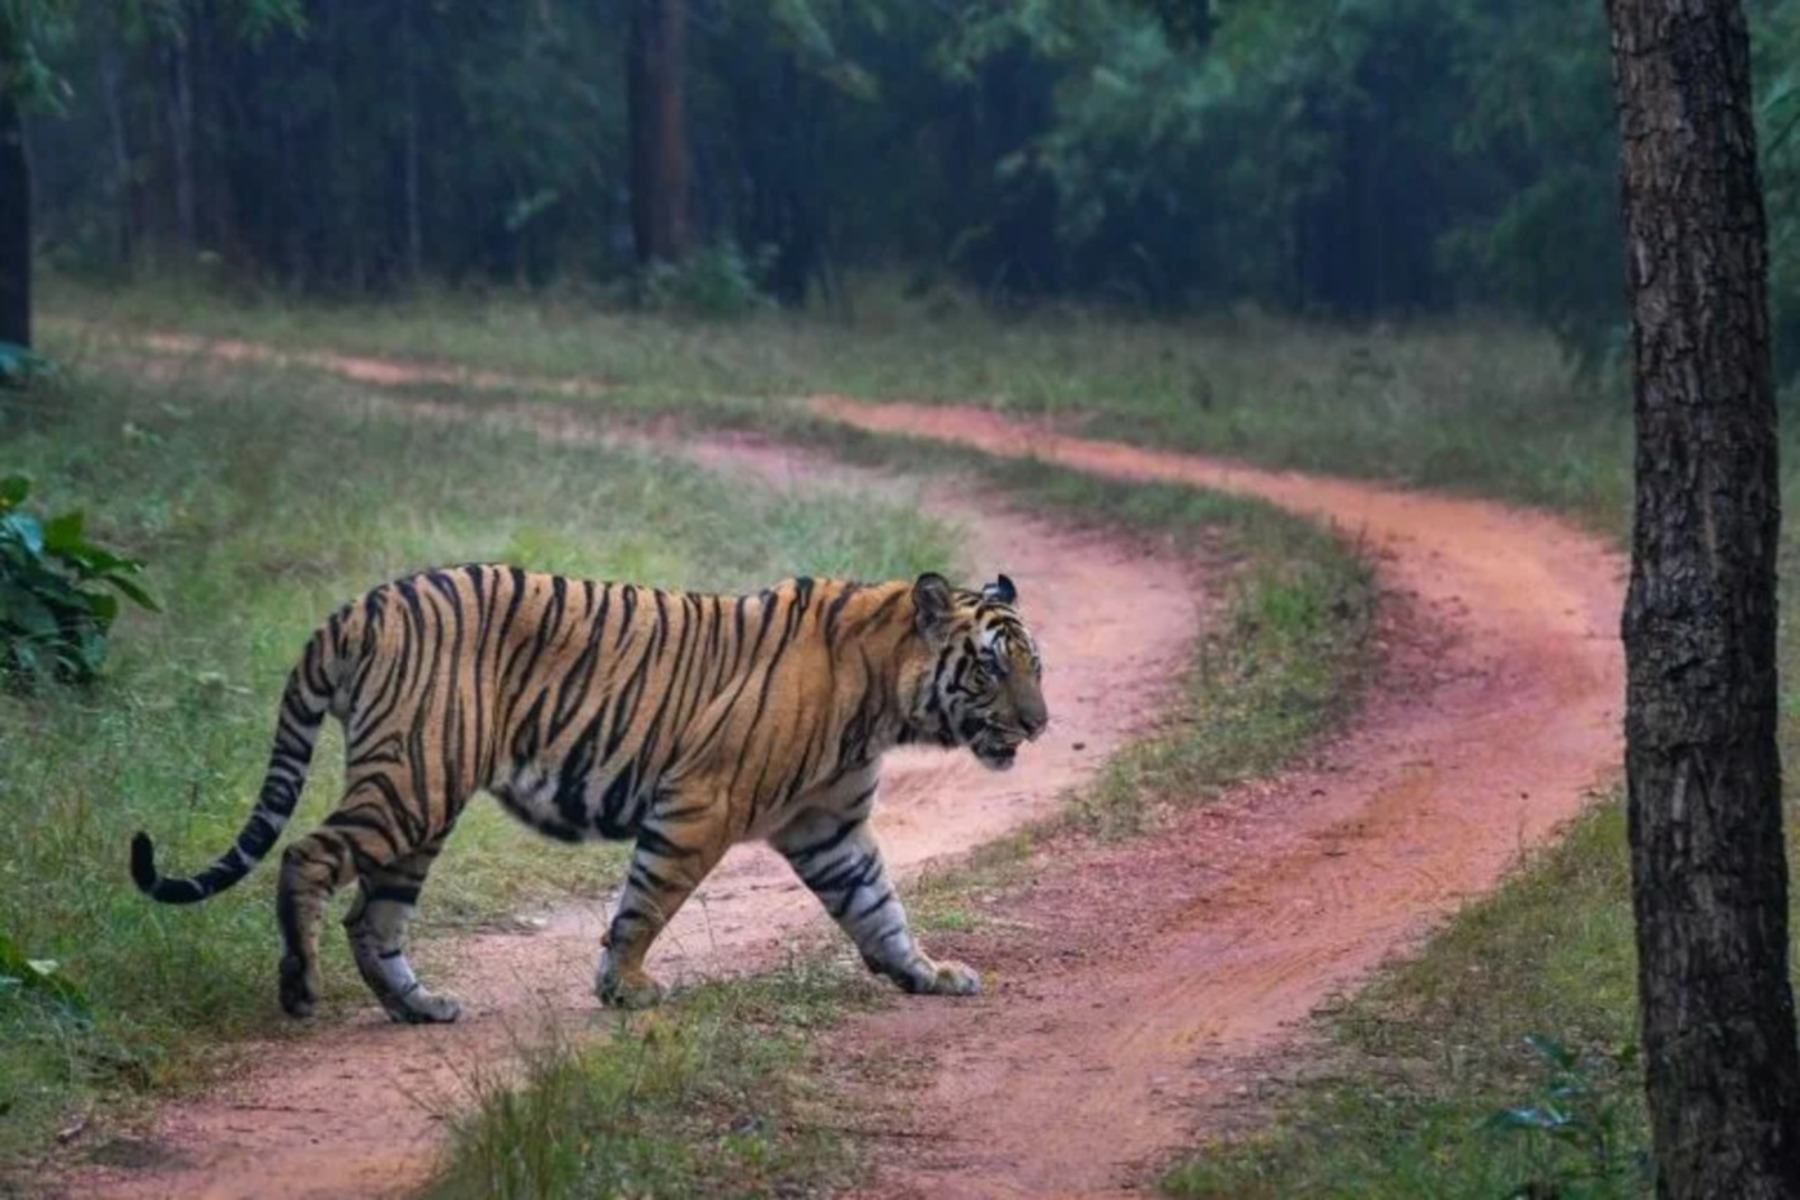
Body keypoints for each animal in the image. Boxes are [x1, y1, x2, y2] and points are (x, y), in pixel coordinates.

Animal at [133, 564, 1051, 1021]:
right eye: (991, 668)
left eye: (1035, 667)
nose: (1040, 725)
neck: (884, 698)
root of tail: (359, 606)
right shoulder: (699, 803)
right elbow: (647, 902)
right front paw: (625, 988)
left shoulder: (829, 826)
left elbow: (878, 908)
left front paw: (927, 975)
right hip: (413, 782)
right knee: (306, 856)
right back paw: (299, 987)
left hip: (424, 797)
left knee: (375, 916)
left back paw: (420, 1006)